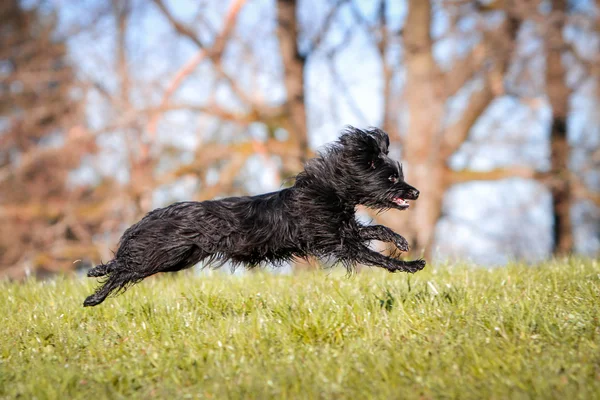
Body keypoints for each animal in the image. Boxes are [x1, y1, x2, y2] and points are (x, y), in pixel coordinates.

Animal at [83, 127, 426, 306]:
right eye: (392, 178)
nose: (416, 192)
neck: (329, 189)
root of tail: (157, 213)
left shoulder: (340, 230)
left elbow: (376, 228)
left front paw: (401, 241)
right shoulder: (338, 241)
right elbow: (376, 256)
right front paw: (411, 265)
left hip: (179, 258)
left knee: (125, 265)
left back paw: (96, 277)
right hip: (165, 255)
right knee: (126, 267)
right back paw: (93, 295)